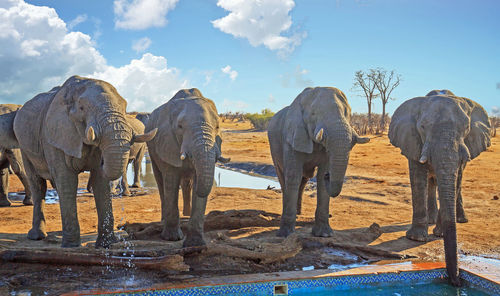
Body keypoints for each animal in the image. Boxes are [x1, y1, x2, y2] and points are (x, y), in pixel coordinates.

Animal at [10, 76, 158, 247]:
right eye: (82, 108)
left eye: (124, 107)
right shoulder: (53, 135)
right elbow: (67, 180)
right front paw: (71, 246)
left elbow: (100, 180)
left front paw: (106, 244)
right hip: (24, 146)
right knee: (37, 184)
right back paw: (37, 236)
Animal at [145, 88, 230, 247]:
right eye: (180, 127)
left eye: (217, 127)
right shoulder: (167, 141)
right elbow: (171, 181)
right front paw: (172, 238)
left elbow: (198, 181)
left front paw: (195, 244)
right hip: (152, 148)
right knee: (161, 181)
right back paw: (164, 219)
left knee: (186, 183)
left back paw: (187, 214)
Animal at [268, 86, 370, 238]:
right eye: (314, 114)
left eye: (347, 113)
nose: (329, 175)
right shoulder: (291, 137)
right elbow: (293, 176)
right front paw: (285, 234)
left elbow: (321, 181)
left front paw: (324, 234)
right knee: (284, 177)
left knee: (304, 179)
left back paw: (299, 213)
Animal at [388, 89, 490, 286]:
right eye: (422, 127)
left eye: (466, 128)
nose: (456, 281)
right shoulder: (413, 139)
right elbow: (418, 178)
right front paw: (416, 238)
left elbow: (455, 179)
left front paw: (439, 234)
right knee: (431, 182)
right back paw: (431, 220)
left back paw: (460, 219)